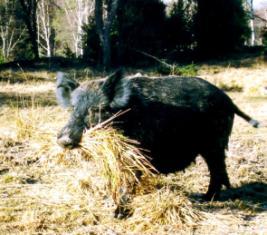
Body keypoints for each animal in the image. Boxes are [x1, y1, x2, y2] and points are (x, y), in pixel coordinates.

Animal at [56, 70, 260, 200]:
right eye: (73, 108)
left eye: (97, 110)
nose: (63, 139)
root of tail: (228, 100)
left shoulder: (137, 150)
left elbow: (131, 175)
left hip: (214, 143)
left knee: (216, 170)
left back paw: (206, 199)